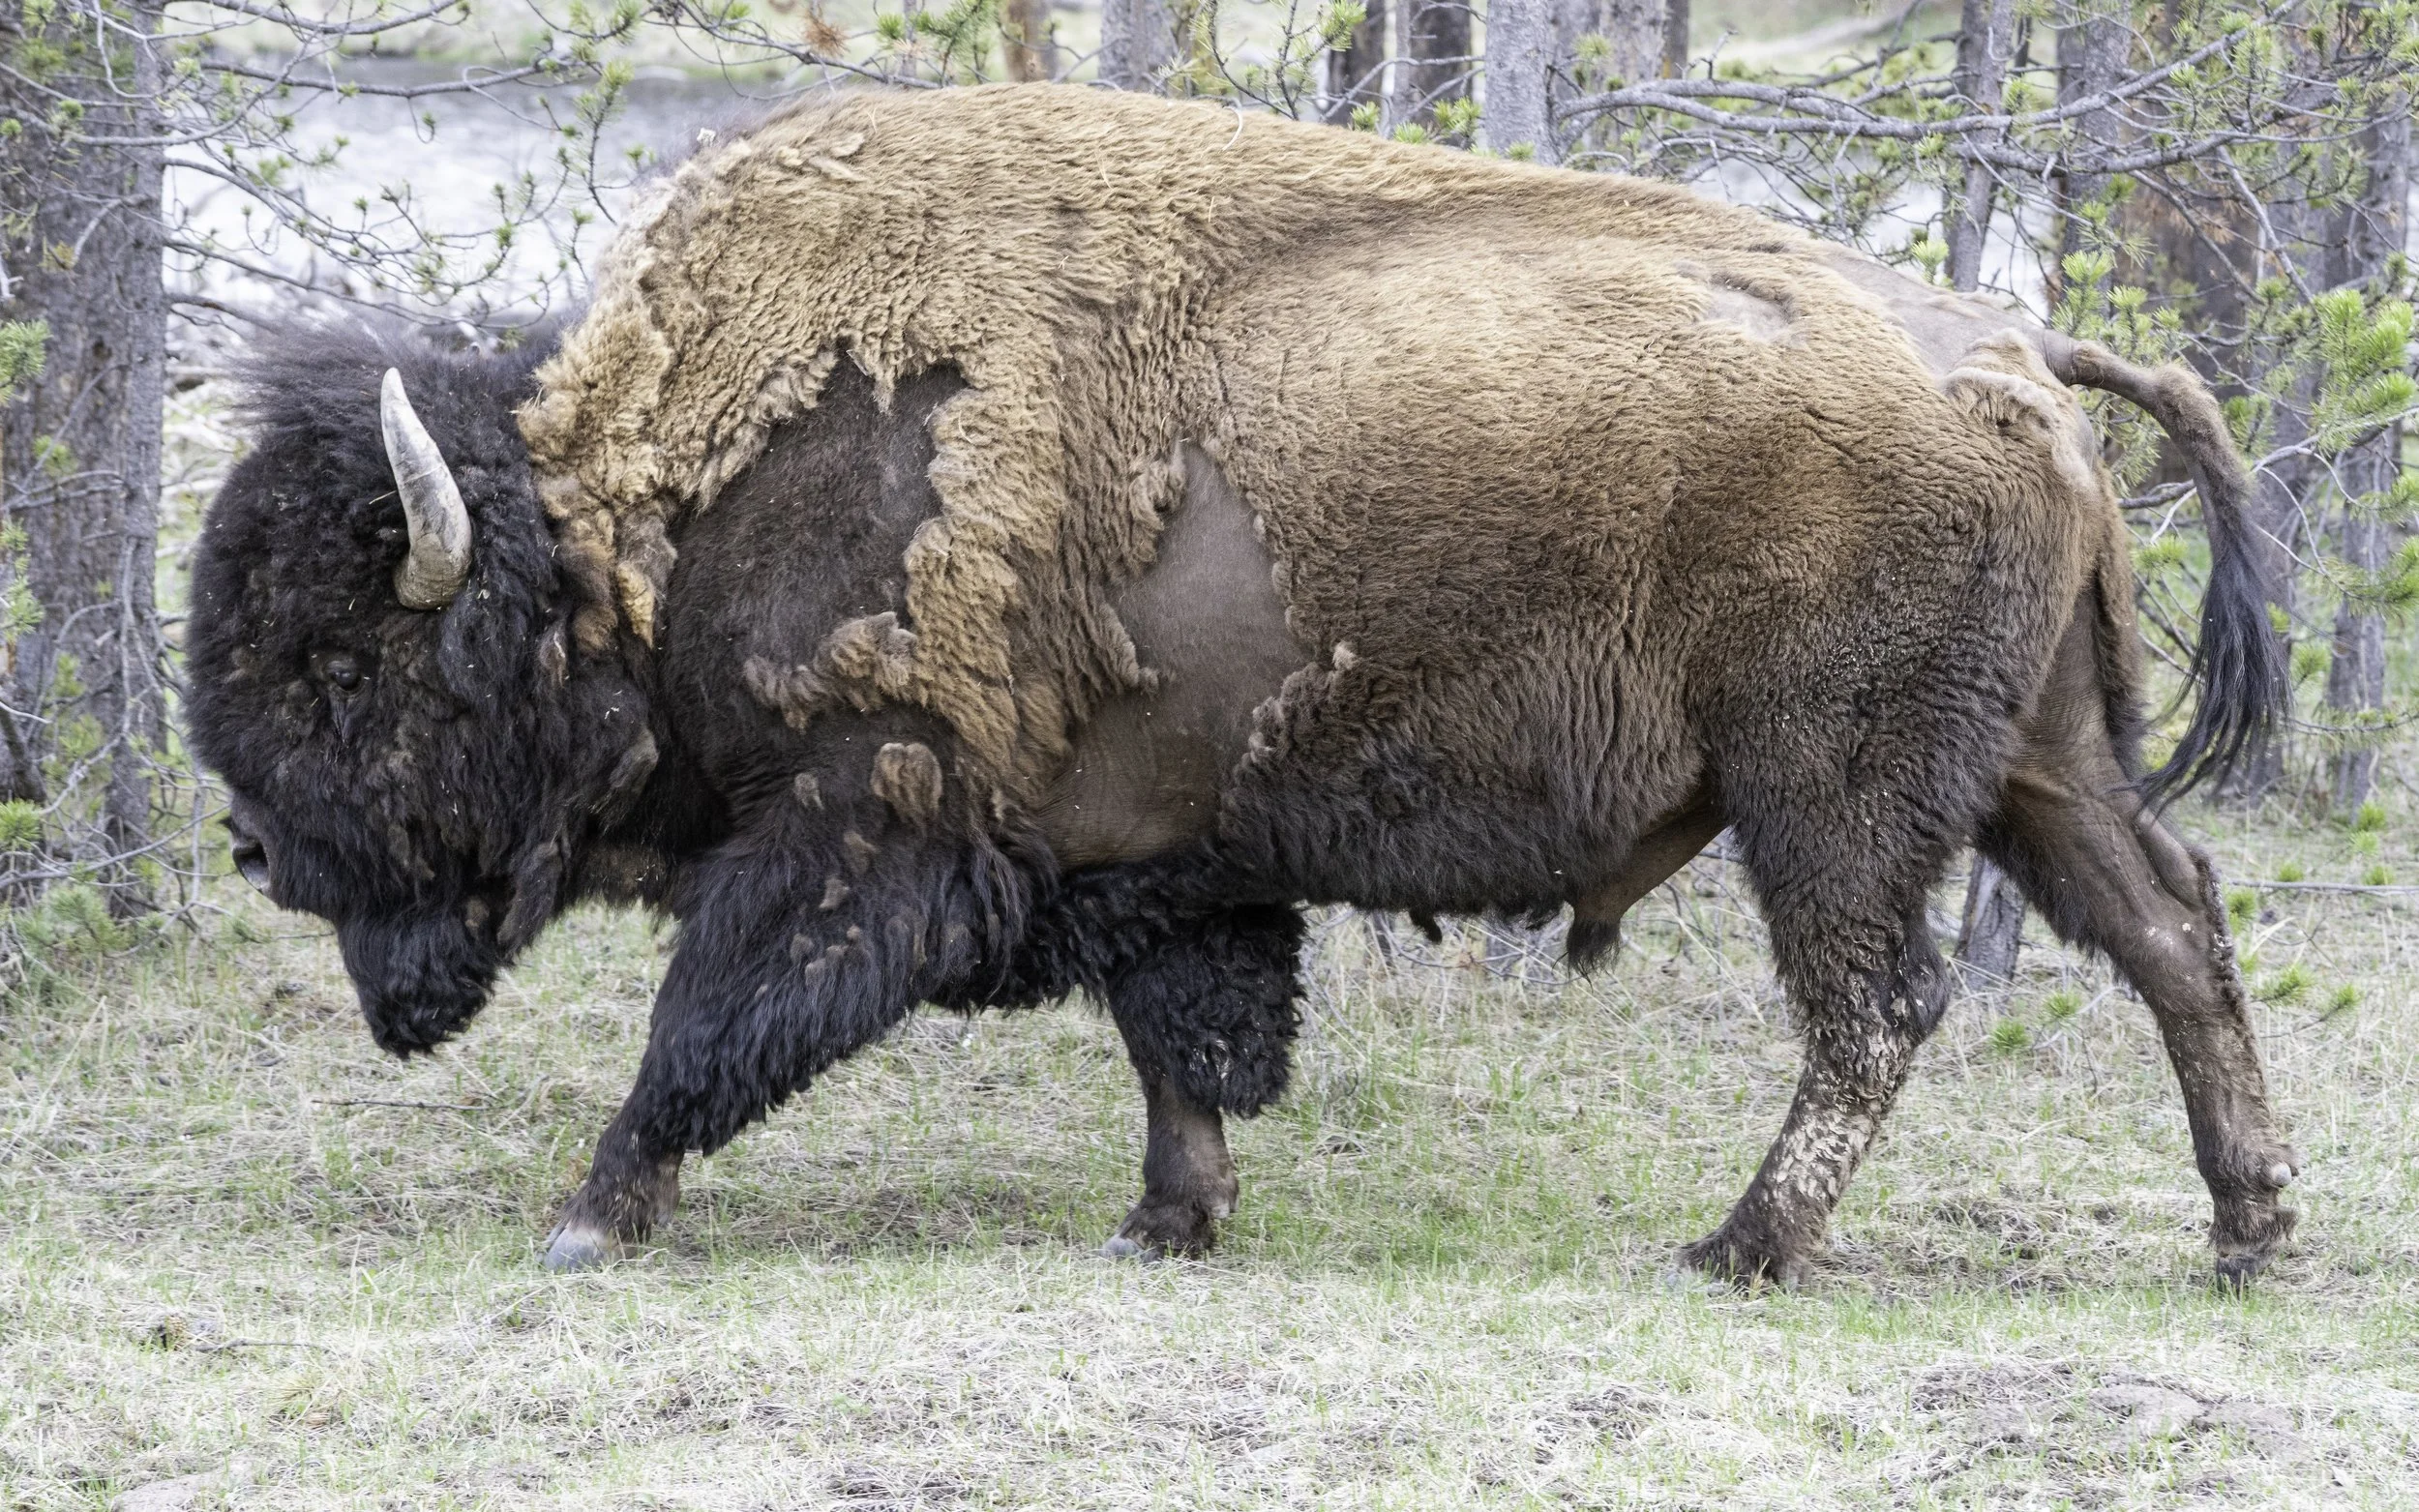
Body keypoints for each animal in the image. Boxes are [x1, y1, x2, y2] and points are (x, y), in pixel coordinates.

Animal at [189, 85, 2297, 1285]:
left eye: (347, 665)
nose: (253, 848)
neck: (651, 510)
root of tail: (2012, 345)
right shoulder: (1152, 854)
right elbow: (1184, 1041)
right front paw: (1166, 1223)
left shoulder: (863, 822)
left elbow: (705, 1026)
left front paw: (589, 1210)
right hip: (2039, 765)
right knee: (2171, 929)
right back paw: (2249, 1229)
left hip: (1832, 794)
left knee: (1878, 1002)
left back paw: (1738, 1246)